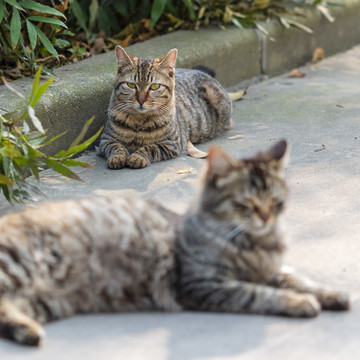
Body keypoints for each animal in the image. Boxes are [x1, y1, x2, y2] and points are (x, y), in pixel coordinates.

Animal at [0, 141, 348, 346]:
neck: (255, 244)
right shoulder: (204, 284)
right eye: (246, 204)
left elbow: (298, 279)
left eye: (276, 203)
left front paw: (333, 294)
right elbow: (260, 294)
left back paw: (28, 331)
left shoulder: (271, 270)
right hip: (19, 268)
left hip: (43, 300)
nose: (265, 218)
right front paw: (300, 303)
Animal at [99, 46, 233, 169]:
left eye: (154, 86)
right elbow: (116, 147)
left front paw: (137, 156)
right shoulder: (106, 139)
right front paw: (117, 157)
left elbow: (151, 147)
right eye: (131, 85)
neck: (139, 122)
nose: (141, 100)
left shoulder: (171, 144)